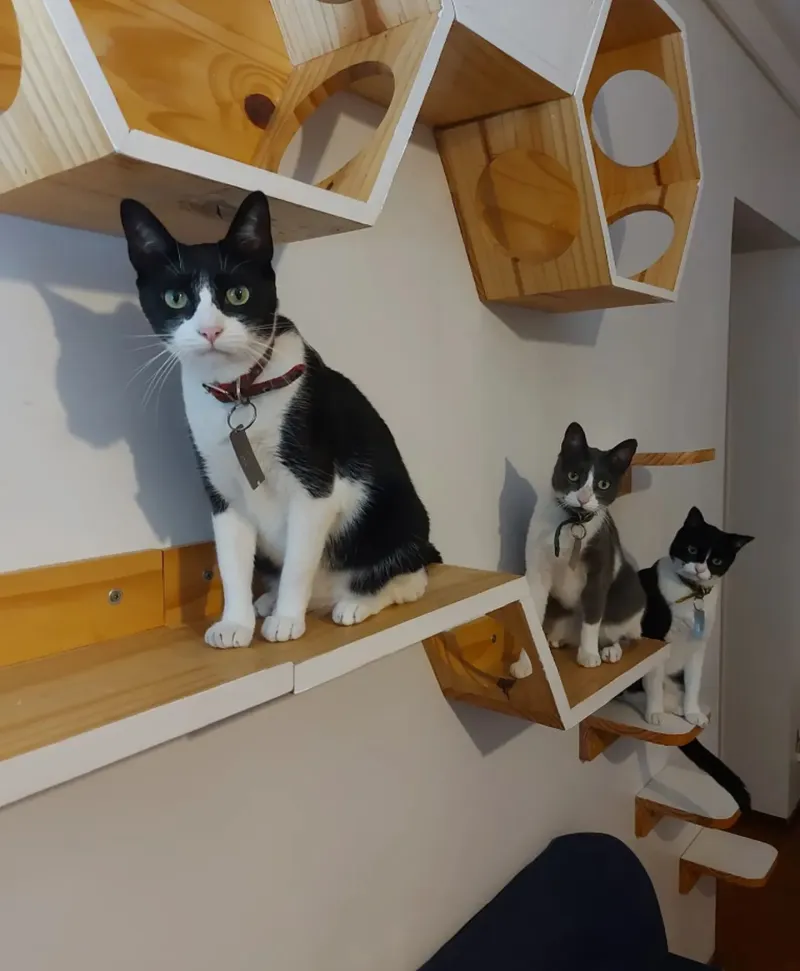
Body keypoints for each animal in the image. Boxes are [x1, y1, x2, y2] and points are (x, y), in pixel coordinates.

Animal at [122, 191, 440, 648]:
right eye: (176, 299)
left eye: (238, 294)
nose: (210, 331)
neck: (240, 389)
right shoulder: (222, 491)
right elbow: (232, 564)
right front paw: (235, 624)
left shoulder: (314, 485)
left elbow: (298, 563)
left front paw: (287, 620)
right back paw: (270, 601)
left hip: (398, 517)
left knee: (408, 580)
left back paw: (353, 603)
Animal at [528, 424, 648, 668]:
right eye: (573, 475)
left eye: (603, 484)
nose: (583, 498)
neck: (573, 522)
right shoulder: (537, 567)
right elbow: (532, 609)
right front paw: (524, 664)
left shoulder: (600, 565)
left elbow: (593, 612)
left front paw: (588, 654)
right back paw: (557, 639)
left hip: (627, 592)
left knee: (627, 636)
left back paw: (611, 649)